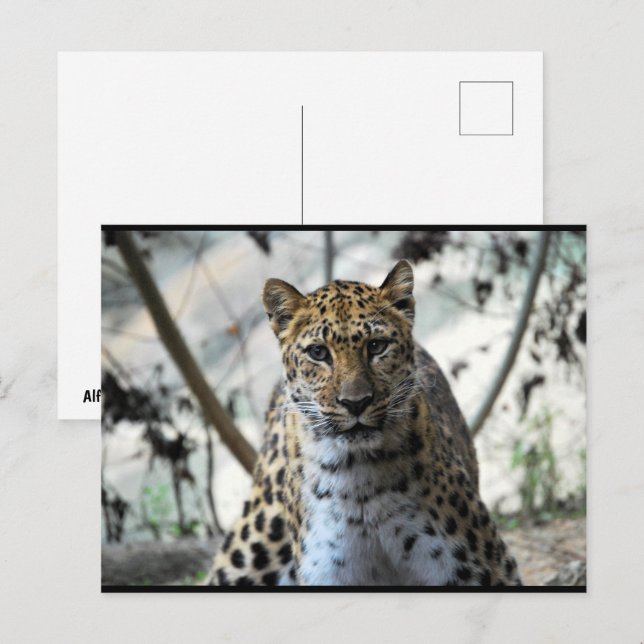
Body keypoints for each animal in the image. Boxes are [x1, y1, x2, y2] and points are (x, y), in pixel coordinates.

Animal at [206, 260, 521, 586]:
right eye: (318, 352)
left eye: (377, 346)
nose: (355, 402)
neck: (359, 484)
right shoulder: (327, 575)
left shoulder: (481, 569)